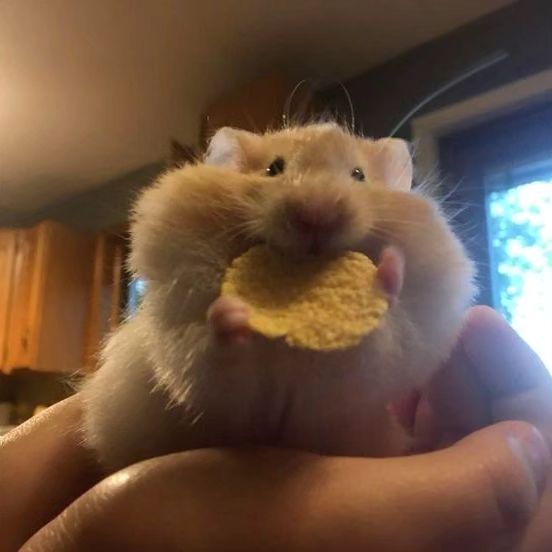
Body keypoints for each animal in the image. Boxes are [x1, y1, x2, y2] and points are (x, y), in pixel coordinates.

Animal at [81, 124, 474, 470]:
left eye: (359, 174)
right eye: (274, 168)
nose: (317, 215)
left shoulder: (344, 390)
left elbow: (372, 345)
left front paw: (389, 269)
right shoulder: (202, 371)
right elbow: (215, 362)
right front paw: (230, 313)